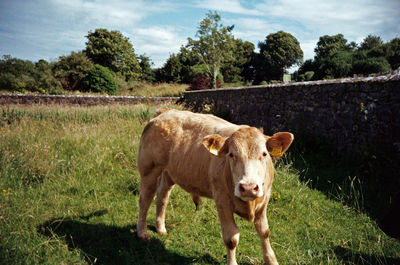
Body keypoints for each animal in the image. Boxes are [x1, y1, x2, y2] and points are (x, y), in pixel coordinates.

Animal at [138, 108, 294, 264]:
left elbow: (264, 232)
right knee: (144, 201)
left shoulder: (264, 199)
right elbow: (231, 238)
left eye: (264, 154)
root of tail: (166, 112)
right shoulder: (222, 200)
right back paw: (142, 232)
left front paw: (271, 260)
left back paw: (160, 228)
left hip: (169, 173)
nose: (248, 187)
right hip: (149, 170)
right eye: (231, 154)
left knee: (162, 197)